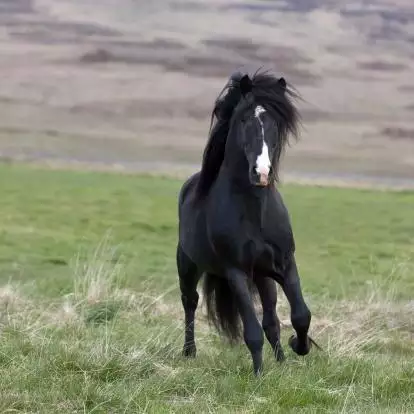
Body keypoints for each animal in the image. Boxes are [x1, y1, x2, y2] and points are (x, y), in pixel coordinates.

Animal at [176, 69, 316, 374]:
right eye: (243, 120)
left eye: (275, 122)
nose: (261, 172)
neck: (255, 212)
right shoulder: (236, 272)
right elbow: (251, 332)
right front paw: (259, 375)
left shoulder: (285, 264)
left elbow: (300, 315)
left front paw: (298, 347)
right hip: (188, 265)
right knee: (190, 303)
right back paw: (189, 352)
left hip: (263, 277)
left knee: (271, 320)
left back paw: (281, 359)